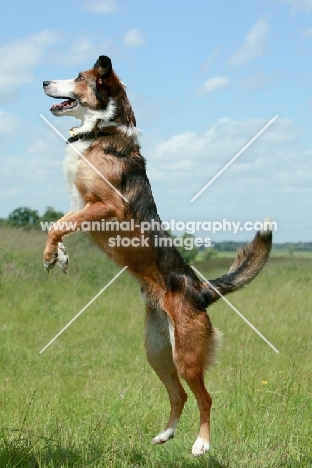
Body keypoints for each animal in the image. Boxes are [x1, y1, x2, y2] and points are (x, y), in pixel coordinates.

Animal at [42, 55, 272, 458]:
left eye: (78, 77)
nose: (42, 82)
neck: (101, 131)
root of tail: (200, 289)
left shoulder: (104, 205)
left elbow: (57, 225)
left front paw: (49, 254)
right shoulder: (80, 203)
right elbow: (62, 224)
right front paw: (60, 257)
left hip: (188, 356)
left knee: (205, 398)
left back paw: (201, 444)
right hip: (157, 351)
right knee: (179, 395)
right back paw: (166, 434)